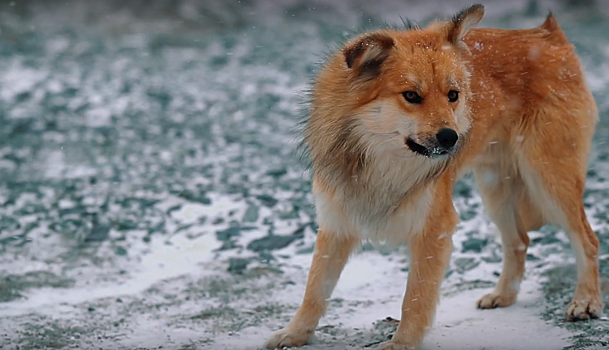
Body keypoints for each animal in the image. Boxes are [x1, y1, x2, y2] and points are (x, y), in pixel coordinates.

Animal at [264, 4, 600, 350]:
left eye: (453, 95)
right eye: (411, 95)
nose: (452, 138)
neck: (380, 161)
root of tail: (546, 35)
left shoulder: (434, 227)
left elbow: (415, 296)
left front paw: (401, 343)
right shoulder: (336, 222)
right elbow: (314, 289)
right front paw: (294, 333)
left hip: (549, 178)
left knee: (587, 239)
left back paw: (586, 301)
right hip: (495, 189)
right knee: (518, 241)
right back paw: (504, 295)